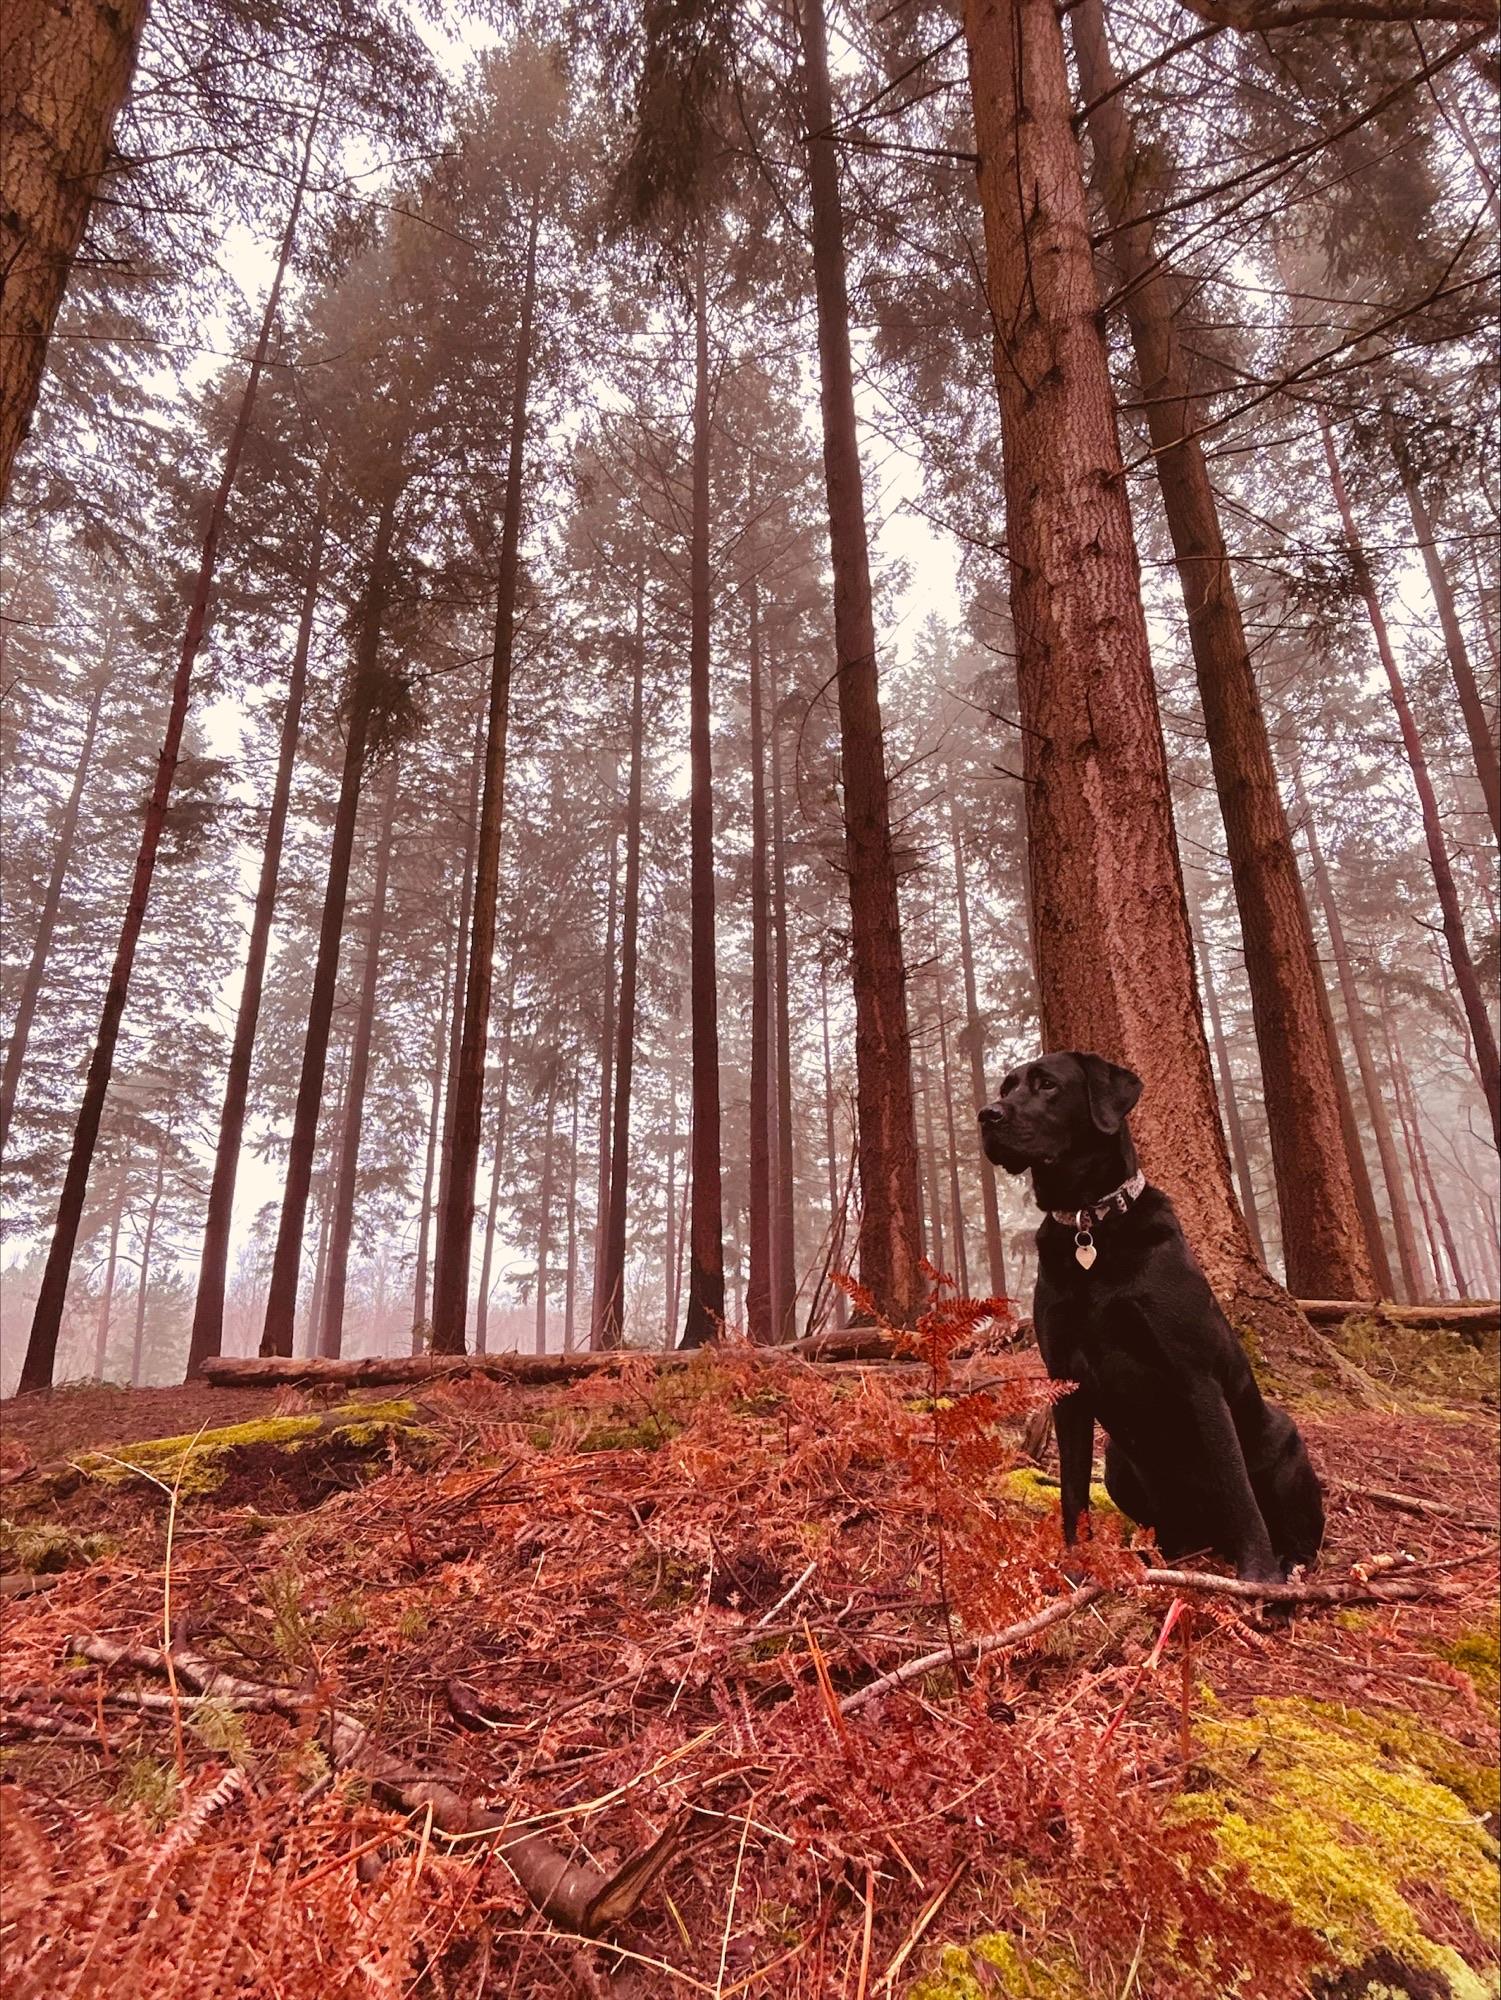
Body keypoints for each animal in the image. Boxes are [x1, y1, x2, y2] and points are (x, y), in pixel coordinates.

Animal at [980, 1056, 1320, 1584]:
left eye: (1048, 1084)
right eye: (1005, 1088)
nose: (987, 1115)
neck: (1090, 1225)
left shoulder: (1197, 1377)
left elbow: (1237, 1487)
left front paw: (1259, 1577)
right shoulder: (1067, 1381)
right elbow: (1072, 1488)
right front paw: (1075, 1564)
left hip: (1286, 1446)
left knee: (1297, 1531)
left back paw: (1286, 1562)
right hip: (1119, 1463)